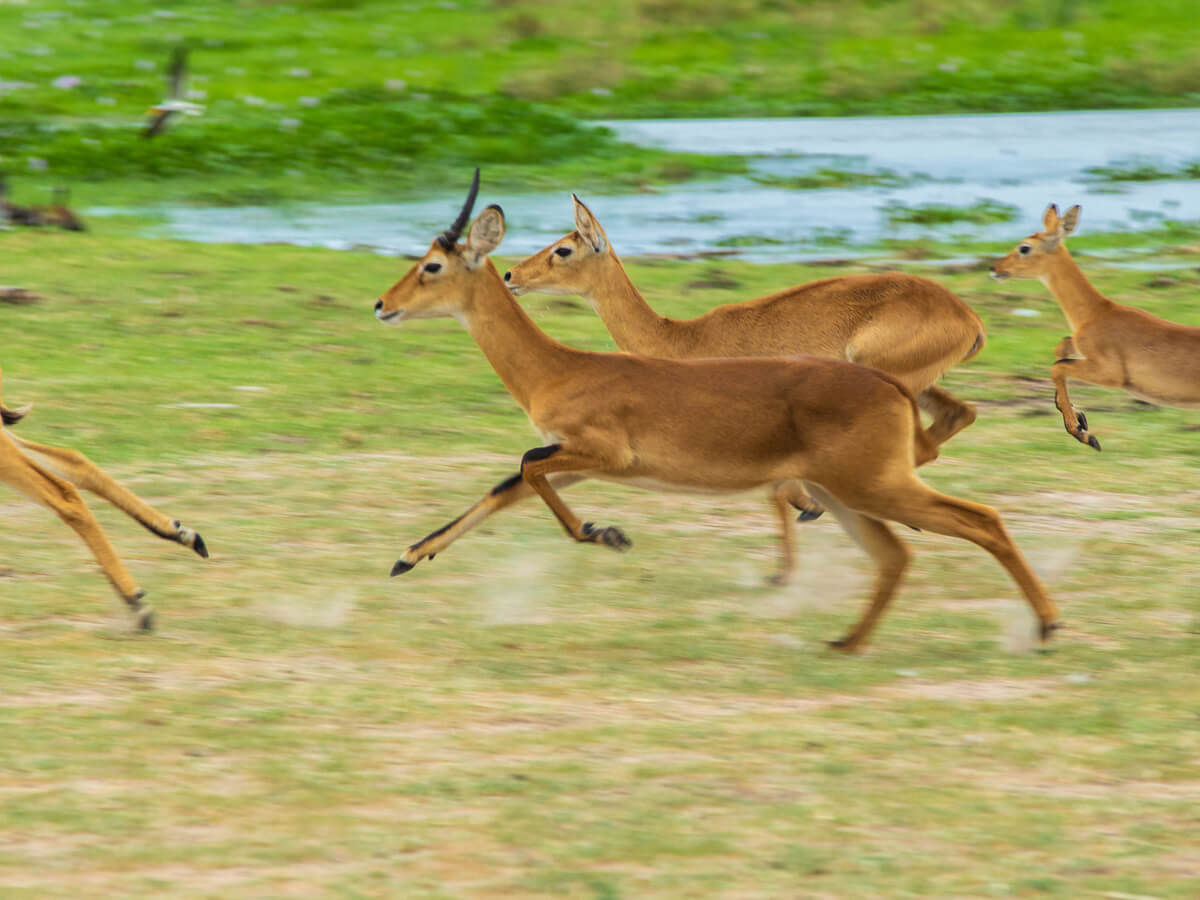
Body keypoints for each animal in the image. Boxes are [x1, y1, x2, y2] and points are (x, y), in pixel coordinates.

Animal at [504, 193, 984, 580]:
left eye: (563, 249)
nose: (510, 275)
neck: (681, 337)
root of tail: (968, 318)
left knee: (923, 448)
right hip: (915, 387)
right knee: (955, 418)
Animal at [993, 207, 1200, 453]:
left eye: (1024, 247)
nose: (995, 268)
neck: (1097, 313)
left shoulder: (1112, 375)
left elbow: (1057, 367)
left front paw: (1083, 433)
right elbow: (1060, 351)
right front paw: (1080, 418)